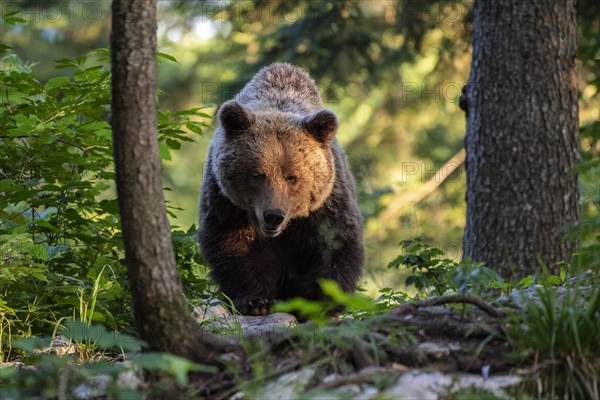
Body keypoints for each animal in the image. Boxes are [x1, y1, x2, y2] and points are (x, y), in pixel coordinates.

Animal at [199, 63, 364, 316]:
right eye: (258, 174)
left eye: (292, 177)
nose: (273, 216)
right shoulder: (226, 202)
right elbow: (232, 247)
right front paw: (256, 301)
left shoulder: (327, 203)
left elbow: (335, 246)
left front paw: (315, 301)